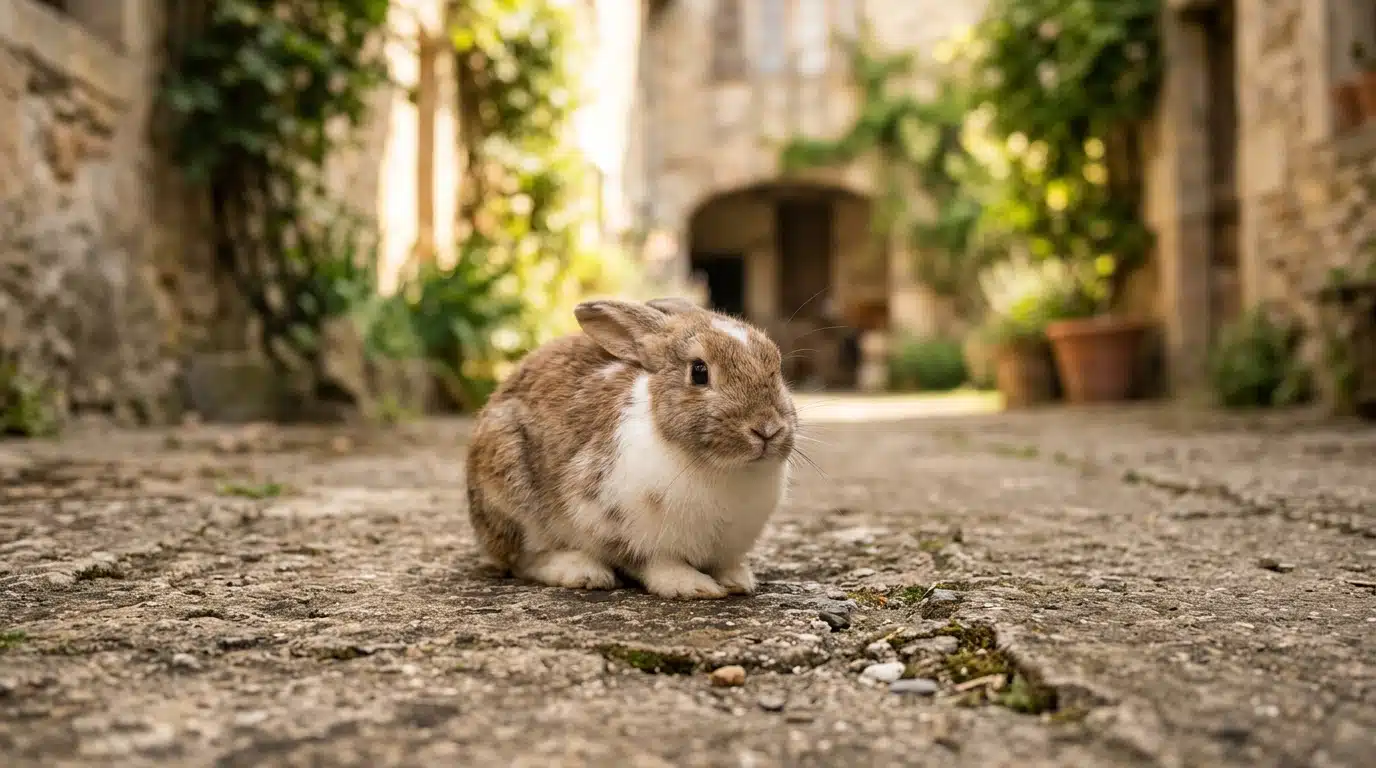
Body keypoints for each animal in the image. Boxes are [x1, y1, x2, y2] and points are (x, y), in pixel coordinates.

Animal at [465, 297, 797, 599]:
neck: (724, 467)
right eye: (699, 372)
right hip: (511, 491)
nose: (767, 428)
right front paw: (692, 586)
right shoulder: (618, 525)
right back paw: (583, 572)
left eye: (776, 365)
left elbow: (726, 564)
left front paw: (739, 580)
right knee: (523, 558)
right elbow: (656, 562)